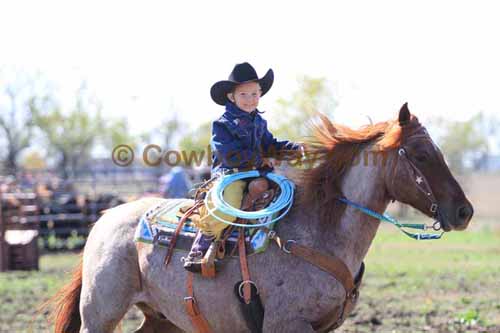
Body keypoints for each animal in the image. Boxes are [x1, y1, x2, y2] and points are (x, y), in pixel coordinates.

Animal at [49, 102, 472, 330]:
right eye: (421, 155)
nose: (464, 211)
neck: (318, 233)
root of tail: (105, 217)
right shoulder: (288, 324)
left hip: (160, 318)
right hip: (100, 315)